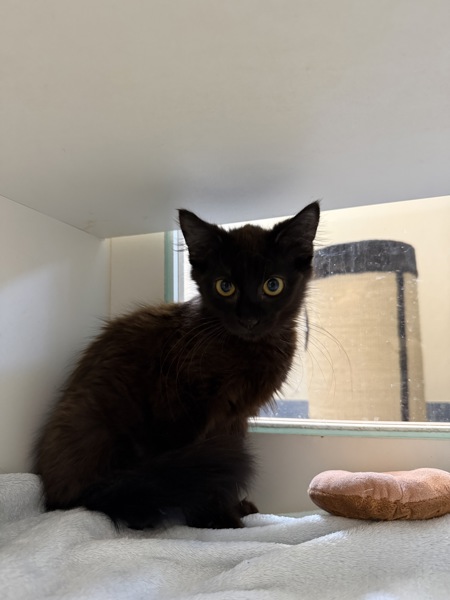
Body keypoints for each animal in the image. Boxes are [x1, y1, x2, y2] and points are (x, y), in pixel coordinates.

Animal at [33, 201, 320, 530]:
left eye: (273, 285)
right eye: (225, 287)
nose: (249, 319)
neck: (246, 348)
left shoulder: (232, 419)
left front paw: (232, 510)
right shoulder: (181, 407)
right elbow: (200, 477)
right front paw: (218, 520)